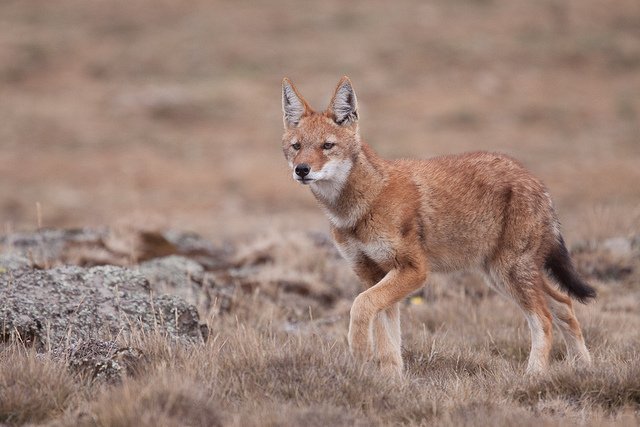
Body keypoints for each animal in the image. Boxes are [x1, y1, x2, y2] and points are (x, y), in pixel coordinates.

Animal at [281, 76, 596, 376]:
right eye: (297, 147)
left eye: (327, 146)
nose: (301, 170)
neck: (360, 206)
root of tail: (536, 181)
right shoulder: (373, 276)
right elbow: (388, 341)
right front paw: (390, 382)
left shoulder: (414, 270)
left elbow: (360, 306)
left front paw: (359, 351)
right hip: (501, 276)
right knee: (564, 305)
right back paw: (583, 368)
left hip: (509, 275)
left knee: (544, 319)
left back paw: (534, 375)